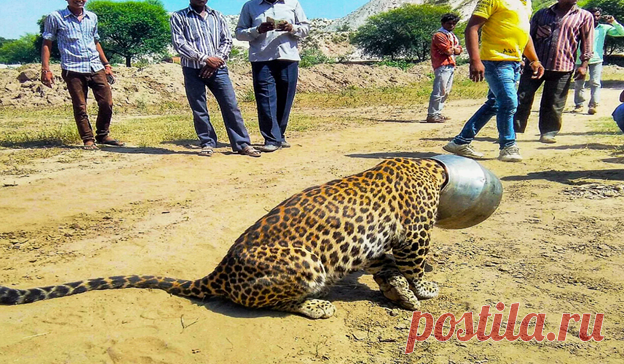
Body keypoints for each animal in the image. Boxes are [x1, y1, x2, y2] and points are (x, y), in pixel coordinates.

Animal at [1, 156, 448, 318]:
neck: (427, 167)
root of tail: (220, 271)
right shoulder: (415, 234)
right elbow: (415, 265)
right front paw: (423, 289)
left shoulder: (379, 244)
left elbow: (386, 267)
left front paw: (399, 293)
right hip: (303, 262)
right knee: (277, 303)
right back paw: (317, 307)